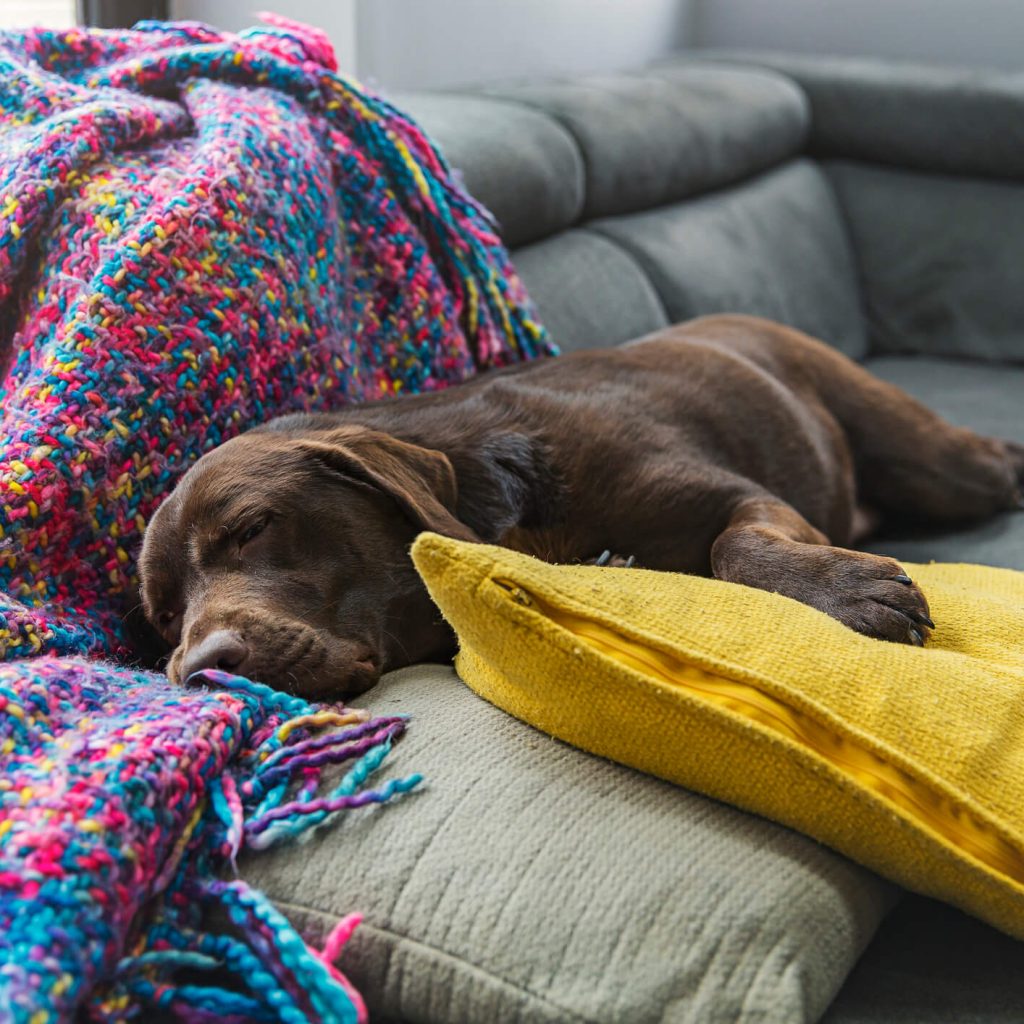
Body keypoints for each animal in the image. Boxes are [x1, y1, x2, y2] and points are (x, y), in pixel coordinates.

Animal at [138, 313, 1024, 696]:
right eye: (163, 616)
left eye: (252, 528)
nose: (202, 666)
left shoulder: (739, 494)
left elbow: (731, 547)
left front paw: (854, 592)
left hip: (932, 462)